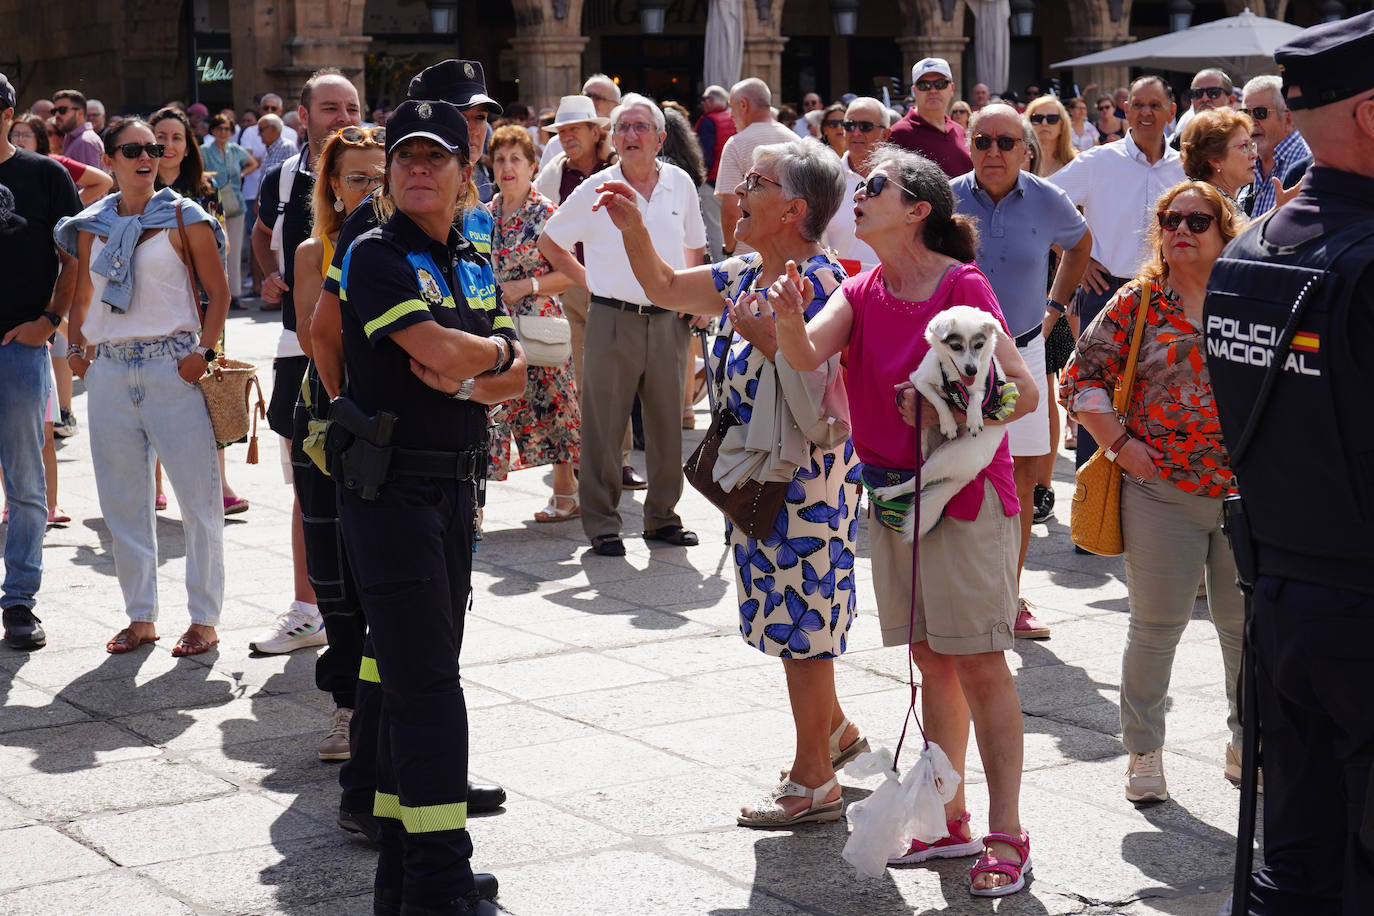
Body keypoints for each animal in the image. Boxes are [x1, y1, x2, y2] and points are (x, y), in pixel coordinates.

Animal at [873, 304, 1016, 541]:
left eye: (979, 345)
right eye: (956, 347)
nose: (972, 370)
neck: (953, 380)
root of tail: (972, 473)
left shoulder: (983, 387)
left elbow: (976, 398)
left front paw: (974, 418)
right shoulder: (919, 381)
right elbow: (938, 400)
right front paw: (948, 423)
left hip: (945, 457)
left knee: (918, 482)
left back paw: (890, 491)